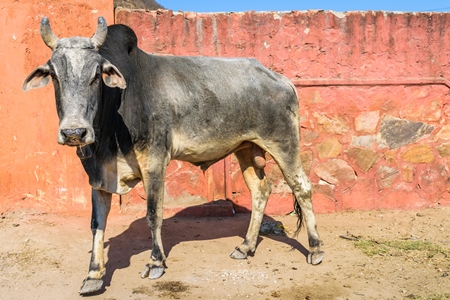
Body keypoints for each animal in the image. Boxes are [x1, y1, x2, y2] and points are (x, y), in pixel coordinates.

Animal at [22, 17, 324, 296]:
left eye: (96, 75)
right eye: (54, 75)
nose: (74, 132)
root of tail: (282, 79)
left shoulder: (154, 162)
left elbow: (153, 214)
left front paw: (156, 262)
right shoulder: (100, 176)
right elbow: (97, 223)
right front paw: (94, 275)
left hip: (284, 143)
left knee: (302, 187)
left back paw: (315, 249)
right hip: (246, 149)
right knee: (260, 191)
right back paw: (245, 246)